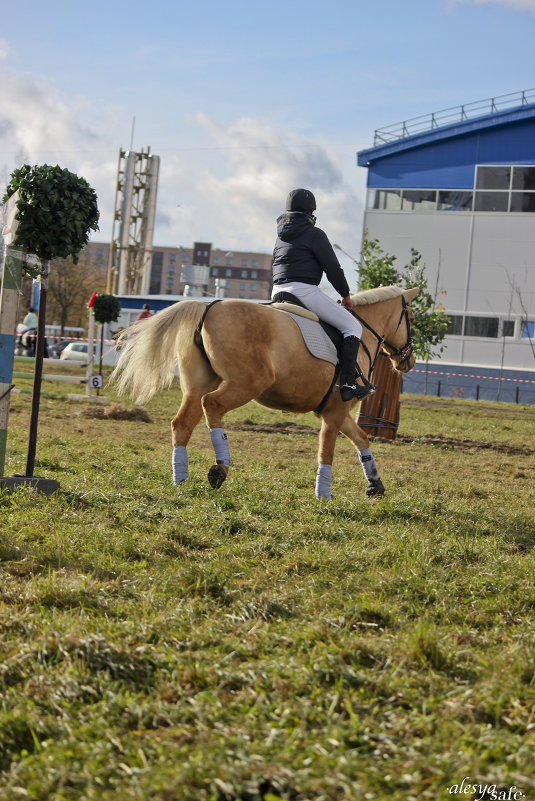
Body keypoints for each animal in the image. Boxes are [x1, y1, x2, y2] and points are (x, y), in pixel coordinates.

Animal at [111, 286, 420, 500]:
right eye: (411, 317)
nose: (408, 360)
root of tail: (208, 307)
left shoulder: (337, 411)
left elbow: (362, 439)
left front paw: (375, 484)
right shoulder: (334, 412)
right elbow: (327, 451)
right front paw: (323, 494)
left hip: (199, 384)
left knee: (182, 423)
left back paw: (181, 477)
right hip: (247, 384)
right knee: (212, 406)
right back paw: (220, 468)